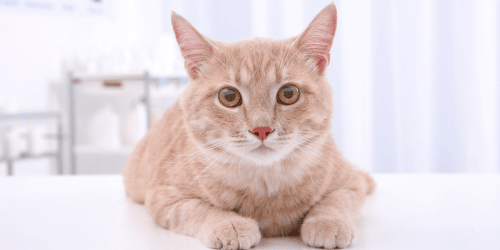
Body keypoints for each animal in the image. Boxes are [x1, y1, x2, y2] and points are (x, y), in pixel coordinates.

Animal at [123, 2, 376, 250]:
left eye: (289, 93)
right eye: (229, 96)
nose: (261, 129)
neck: (265, 185)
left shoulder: (351, 183)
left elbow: (336, 201)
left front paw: (328, 222)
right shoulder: (164, 197)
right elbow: (199, 210)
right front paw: (230, 224)